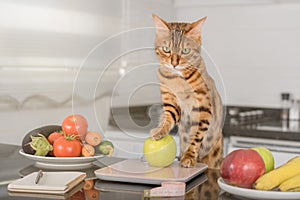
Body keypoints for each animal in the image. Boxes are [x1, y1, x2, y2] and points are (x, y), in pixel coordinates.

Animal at [151, 14, 224, 169]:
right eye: (166, 49)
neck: (178, 80)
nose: (174, 63)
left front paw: (189, 156)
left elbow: (196, 136)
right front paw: (159, 131)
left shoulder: (203, 108)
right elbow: (168, 119)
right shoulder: (171, 103)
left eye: (185, 51)